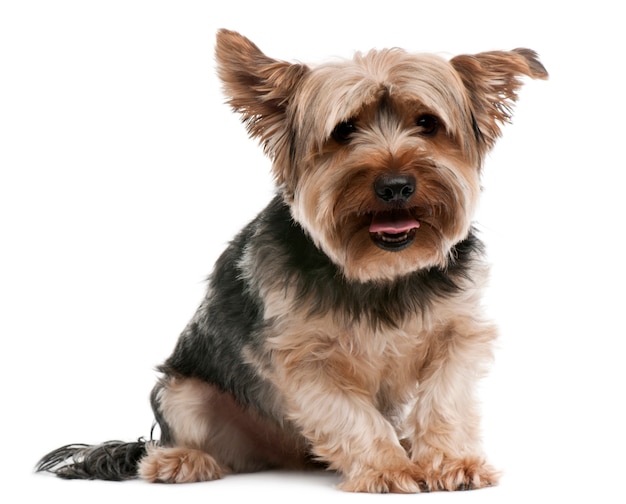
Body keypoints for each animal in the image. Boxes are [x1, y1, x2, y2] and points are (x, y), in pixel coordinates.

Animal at [37, 29, 544, 494]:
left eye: (427, 123)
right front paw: (386, 468)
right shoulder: (305, 359)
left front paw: (452, 462)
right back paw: (180, 461)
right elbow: (353, 415)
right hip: (184, 391)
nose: (396, 185)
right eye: (344, 130)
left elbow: (445, 399)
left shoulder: (457, 334)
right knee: (176, 437)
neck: (378, 272)